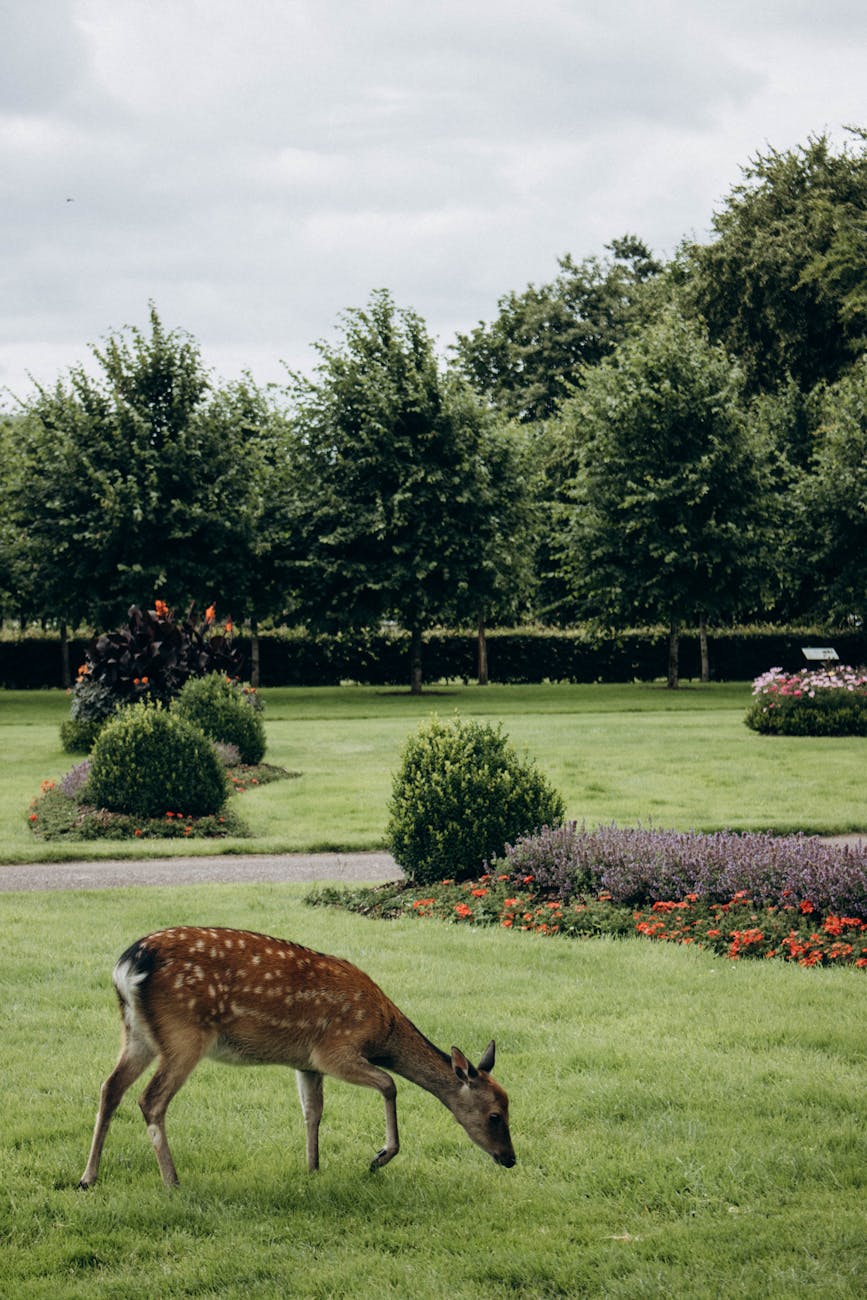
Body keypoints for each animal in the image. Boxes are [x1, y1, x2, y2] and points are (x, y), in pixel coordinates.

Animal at [79, 926, 516, 1188]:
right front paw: (379, 1157)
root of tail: (126, 967)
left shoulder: (305, 1063)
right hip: (184, 1033)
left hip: (136, 1033)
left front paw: (312, 1167)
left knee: (109, 1088)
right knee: (151, 1099)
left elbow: (312, 1111)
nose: (510, 1159)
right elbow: (389, 1084)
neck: (383, 1030)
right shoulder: (334, 1050)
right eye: (495, 1115)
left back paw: (88, 1177)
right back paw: (172, 1181)